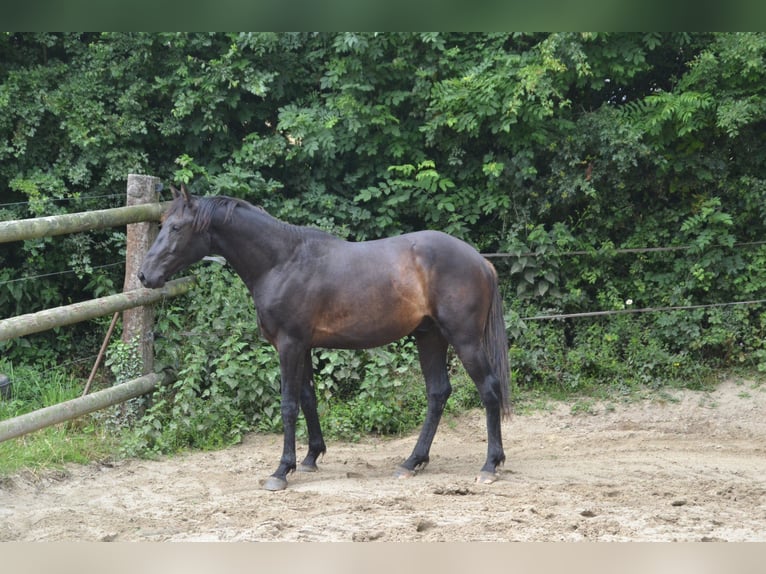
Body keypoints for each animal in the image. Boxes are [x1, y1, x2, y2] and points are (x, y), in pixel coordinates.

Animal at [140, 184, 510, 490]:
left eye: (176, 228)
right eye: (163, 224)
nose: (144, 275)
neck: (282, 261)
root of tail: (481, 262)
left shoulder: (289, 345)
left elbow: (288, 405)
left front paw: (281, 470)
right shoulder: (302, 346)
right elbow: (308, 398)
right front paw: (310, 458)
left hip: (464, 340)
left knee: (489, 389)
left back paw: (490, 465)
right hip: (429, 336)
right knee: (438, 393)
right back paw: (411, 462)